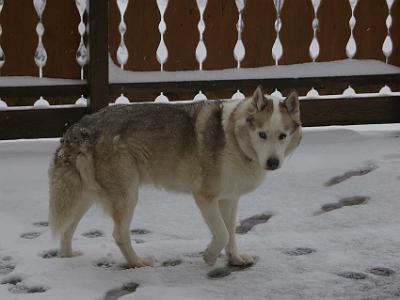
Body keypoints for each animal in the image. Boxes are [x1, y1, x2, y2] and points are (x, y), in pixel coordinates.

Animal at [48, 85, 302, 266]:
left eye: (282, 135)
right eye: (262, 134)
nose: (273, 163)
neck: (234, 139)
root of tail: (81, 126)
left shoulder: (229, 199)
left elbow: (230, 233)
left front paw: (235, 259)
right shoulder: (204, 197)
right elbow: (221, 233)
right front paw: (210, 256)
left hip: (86, 196)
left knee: (68, 227)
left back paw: (68, 256)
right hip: (127, 195)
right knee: (118, 234)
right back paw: (137, 262)